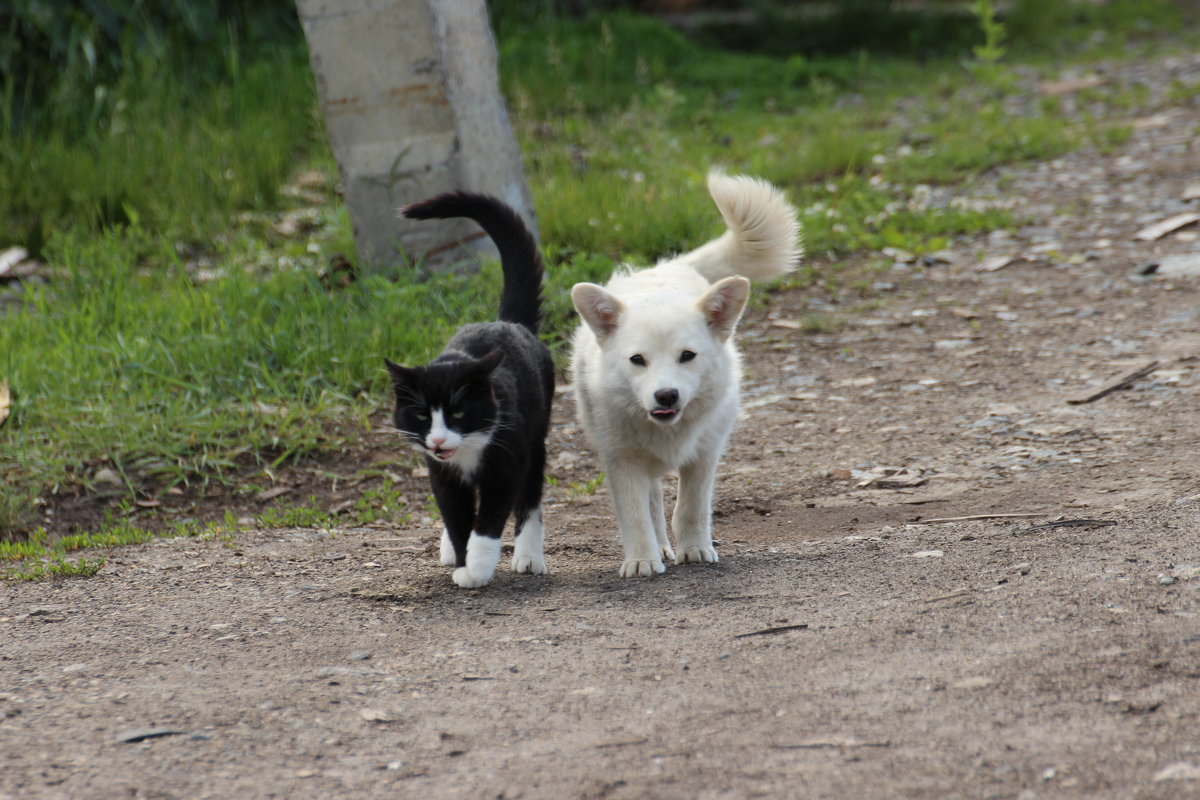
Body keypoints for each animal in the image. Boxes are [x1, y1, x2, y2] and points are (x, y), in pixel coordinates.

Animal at [384, 194, 552, 587]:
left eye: (458, 412)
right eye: (420, 415)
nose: (438, 440)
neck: (467, 453)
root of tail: (507, 322)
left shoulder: (506, 464)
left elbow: (488, 522)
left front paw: (476, 569)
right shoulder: (441, 475)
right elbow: (457, 517)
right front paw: (462, 561)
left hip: (536, 433)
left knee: (531, 496)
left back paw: (528, 556)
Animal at [568, 172, 801, 578]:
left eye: (687, 356)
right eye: (637, 360)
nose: (666, 395)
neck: (667, 430)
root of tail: (662, 268)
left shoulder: (705, 455)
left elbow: (692, 508)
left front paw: (694, 550)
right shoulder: (622, 460)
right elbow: (636, 515)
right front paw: (642, 560)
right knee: (652, 503)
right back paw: (658, 548)